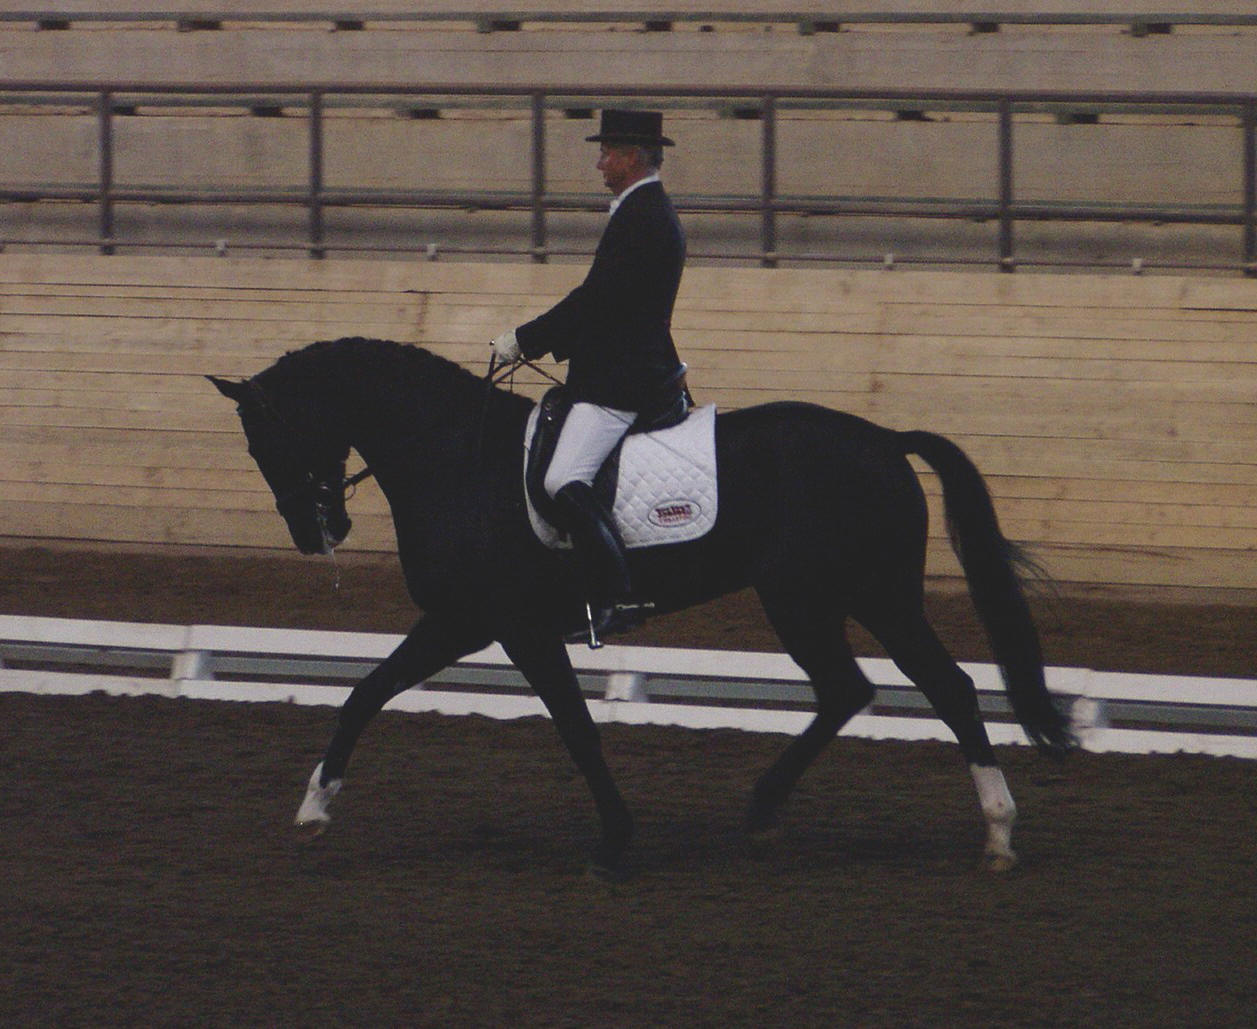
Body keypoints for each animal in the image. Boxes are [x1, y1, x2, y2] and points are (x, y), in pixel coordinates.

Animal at [209, 336, 1074, 875]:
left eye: (265, 441)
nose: (315, 533)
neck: (454, 455)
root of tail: (887, 440)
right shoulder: (461, 621)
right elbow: (365, 691)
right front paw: (313, 808)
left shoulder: (509, 626)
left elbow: (576, 729)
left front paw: (613, 844)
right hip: (826, 596)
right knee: (859, 689)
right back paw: (770, 811)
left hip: (843, 595)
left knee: (929, 688)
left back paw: (995, 835)